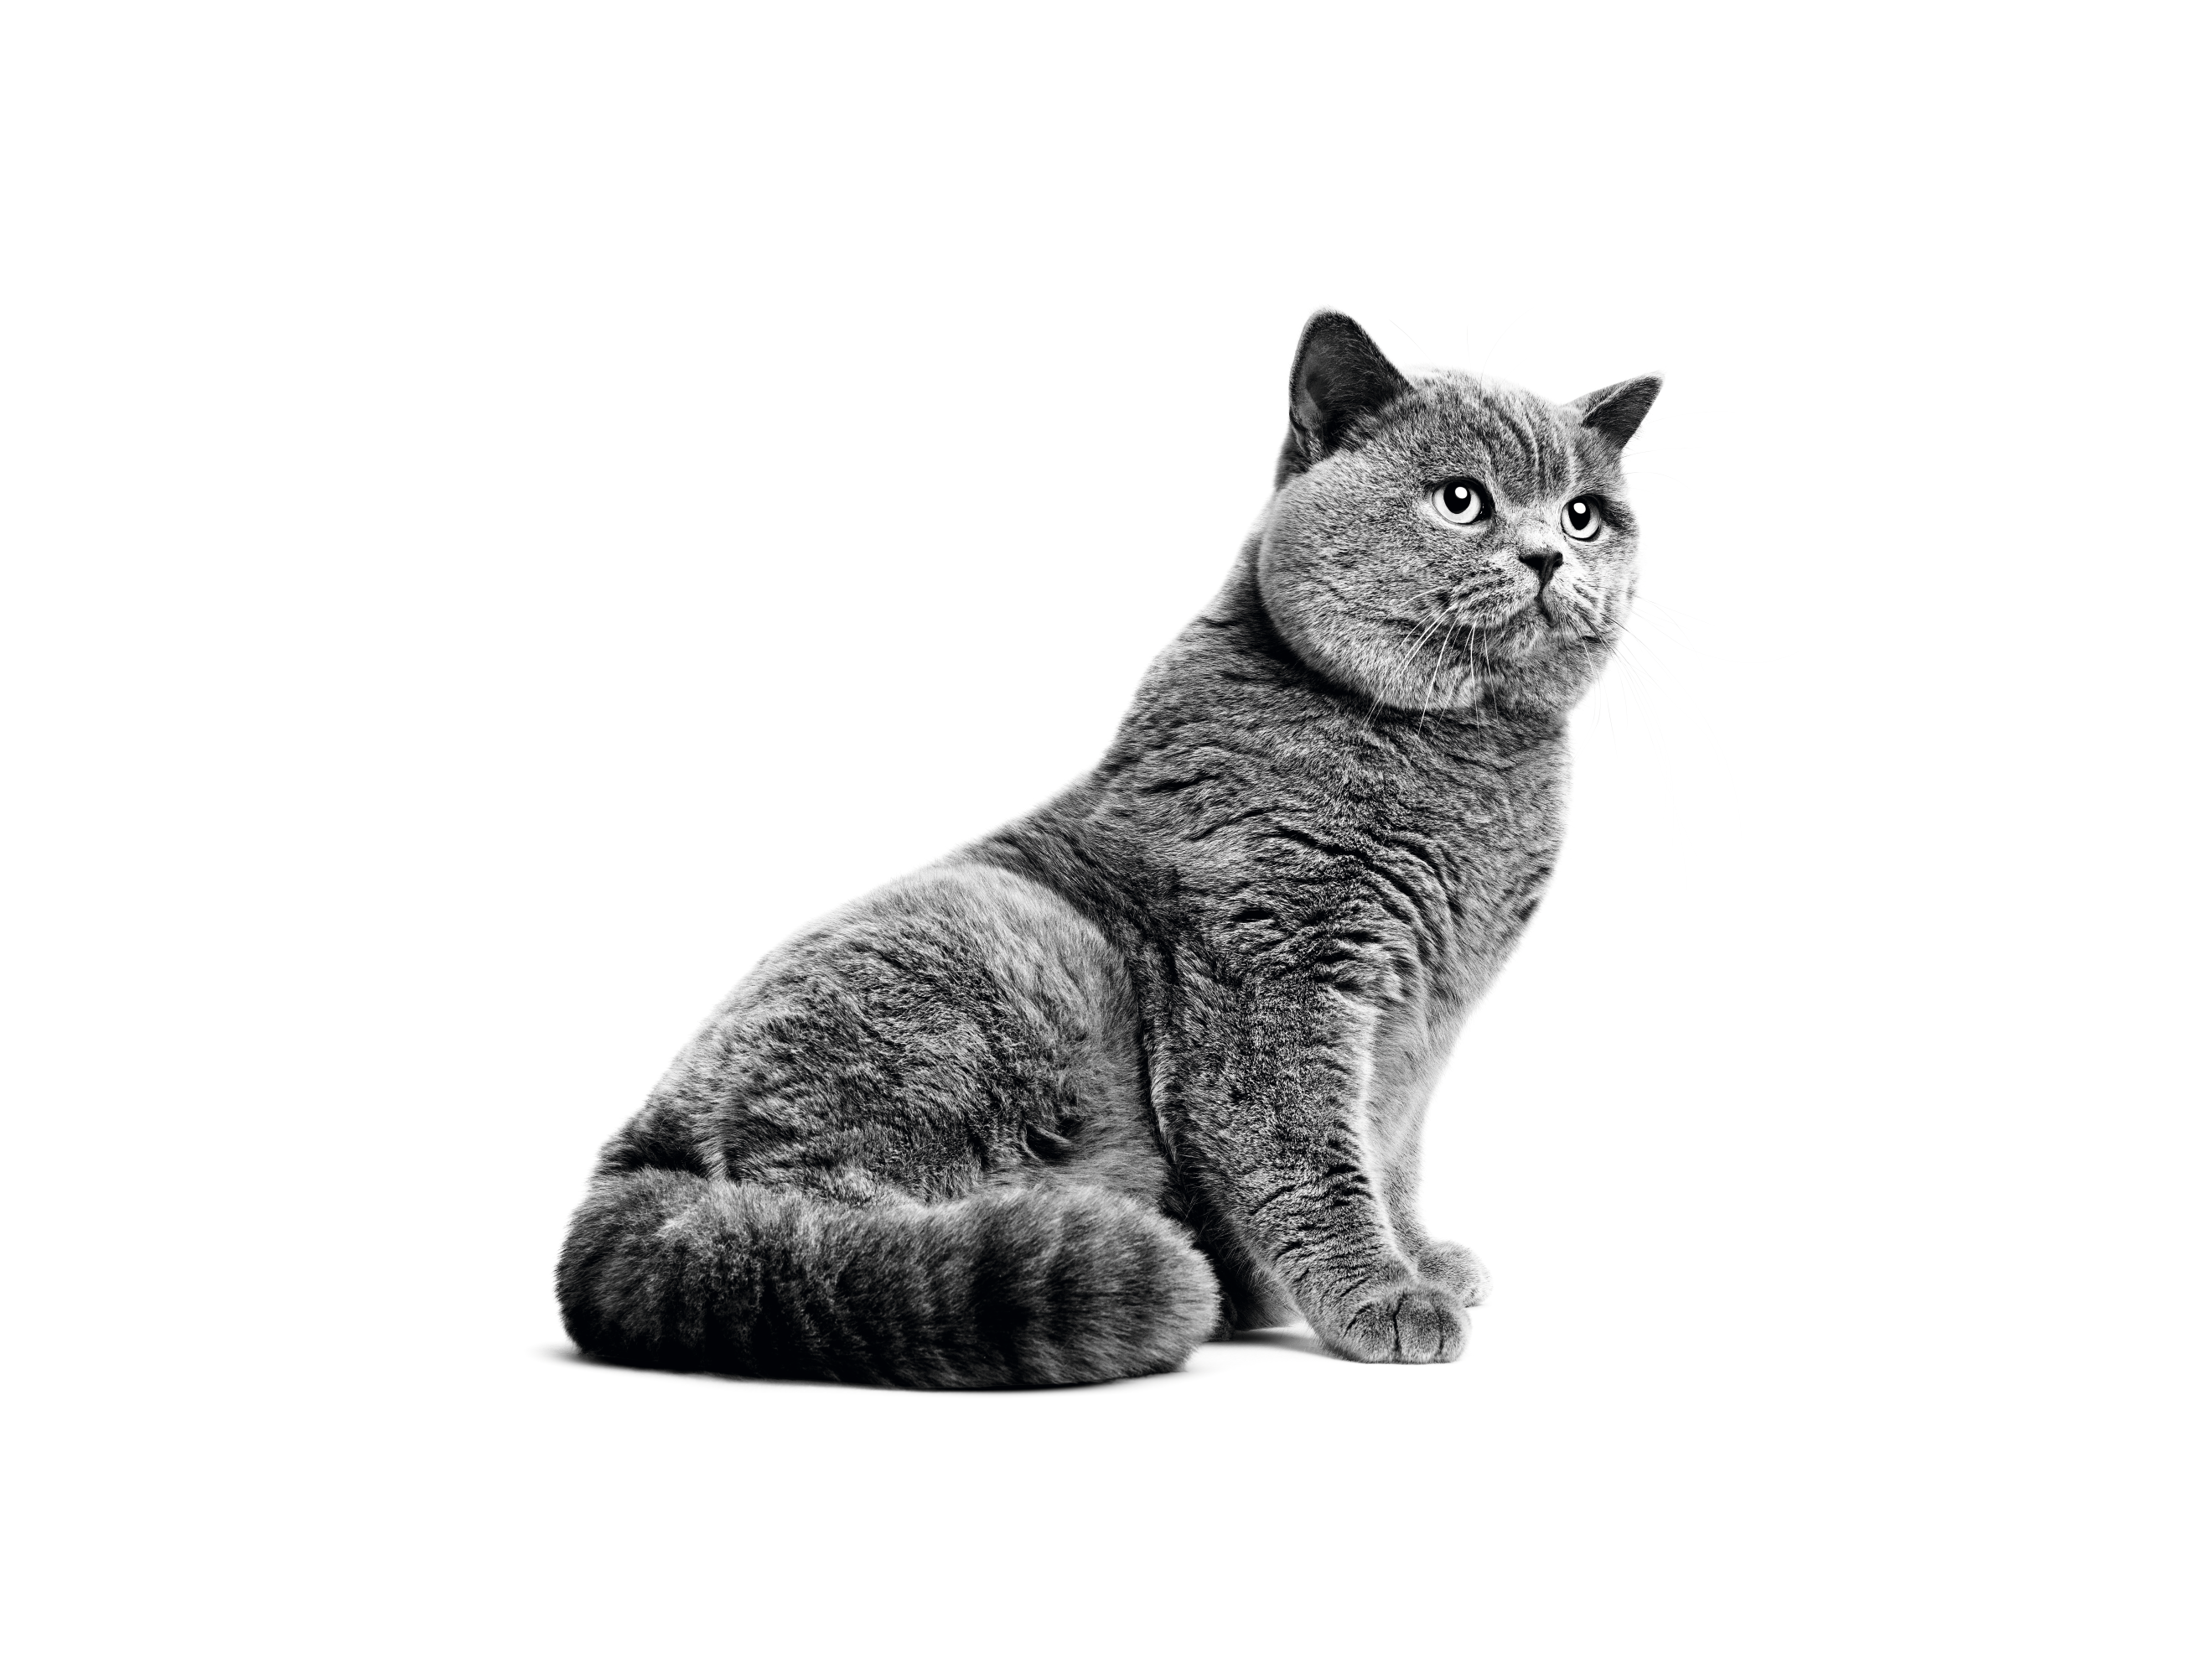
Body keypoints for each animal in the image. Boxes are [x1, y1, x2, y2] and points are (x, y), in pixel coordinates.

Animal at [557, 312, 1663, 1389]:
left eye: (1581, 514)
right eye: (1460, 502)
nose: (1547, 556)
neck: (1472, 762)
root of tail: (631, 1155)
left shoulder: (1424, 1018)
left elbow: (1391, 1145)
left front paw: (1419, 1257)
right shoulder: (1275, 974)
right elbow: (1306, 1153)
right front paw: (1383, 1295)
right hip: (1017, 941)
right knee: (812, 1222)